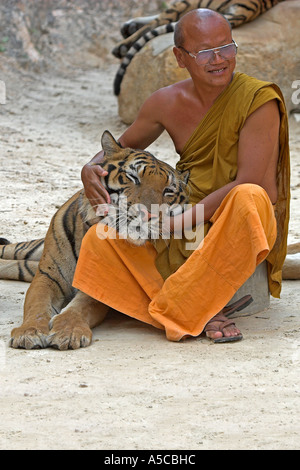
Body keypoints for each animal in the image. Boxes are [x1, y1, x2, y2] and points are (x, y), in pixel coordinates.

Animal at [1, 130, 190, 350]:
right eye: (133, 177)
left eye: (168, 191)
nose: (149, 215)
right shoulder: (48, 276)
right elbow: (36, 305)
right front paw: (29, 332)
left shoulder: (98, 286)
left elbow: (81, 306)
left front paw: (68, 332)